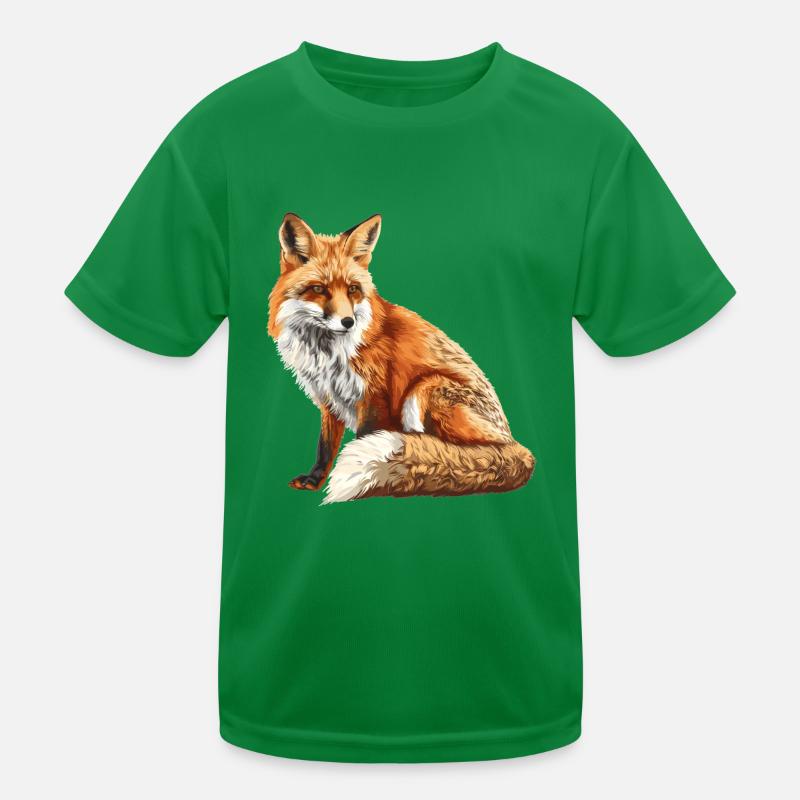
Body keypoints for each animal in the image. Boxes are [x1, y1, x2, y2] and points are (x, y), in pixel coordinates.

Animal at [267, 212, 535, 504]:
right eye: (319, 289)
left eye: (352, 289)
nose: (348, 322)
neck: (327, 351)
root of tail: (513, 441)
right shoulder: (330, 398)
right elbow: (325, 447)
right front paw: (315, 480)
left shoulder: (373, 397)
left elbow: (363, 438)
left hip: (424, 389)